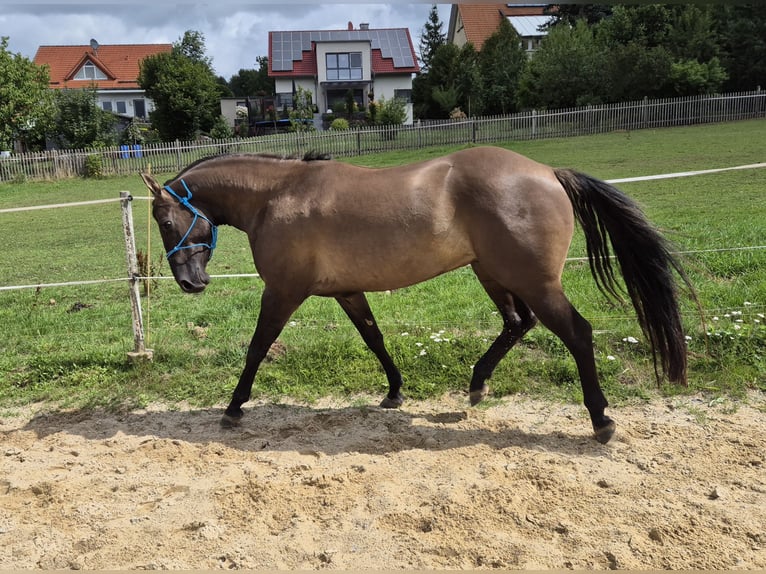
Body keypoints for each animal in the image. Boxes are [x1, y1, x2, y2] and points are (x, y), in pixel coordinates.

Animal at [140, 146, 693, 444]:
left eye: (165, 221)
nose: (191, 283)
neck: (279, 197)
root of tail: (548, 173)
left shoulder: (283, 292)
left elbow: (257, 348)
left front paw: (233, 408)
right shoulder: (347, 292)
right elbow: (375, 339)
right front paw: (394, 391)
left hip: (533, 282)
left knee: (576, 333)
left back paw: (600, 420)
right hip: (493, 274)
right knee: (518, 324)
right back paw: (476, 385)